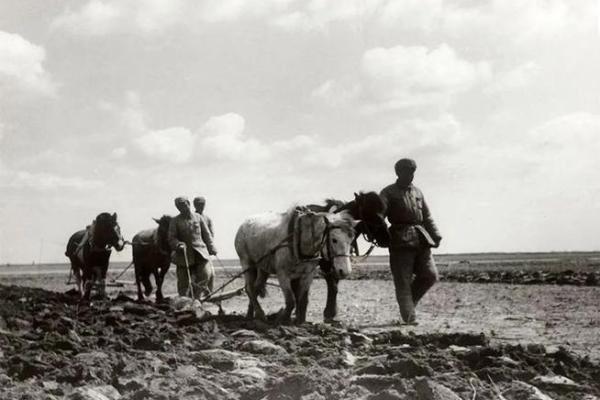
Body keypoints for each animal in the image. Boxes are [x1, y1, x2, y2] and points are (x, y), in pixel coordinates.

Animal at [308, 191, 392, 322]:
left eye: (384, 213)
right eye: (369, 213)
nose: (387, 238)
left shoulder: (339, 264)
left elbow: (335, 284)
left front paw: (332, 312)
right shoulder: (326, 265)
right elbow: (333, 285)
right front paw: (329, 313)